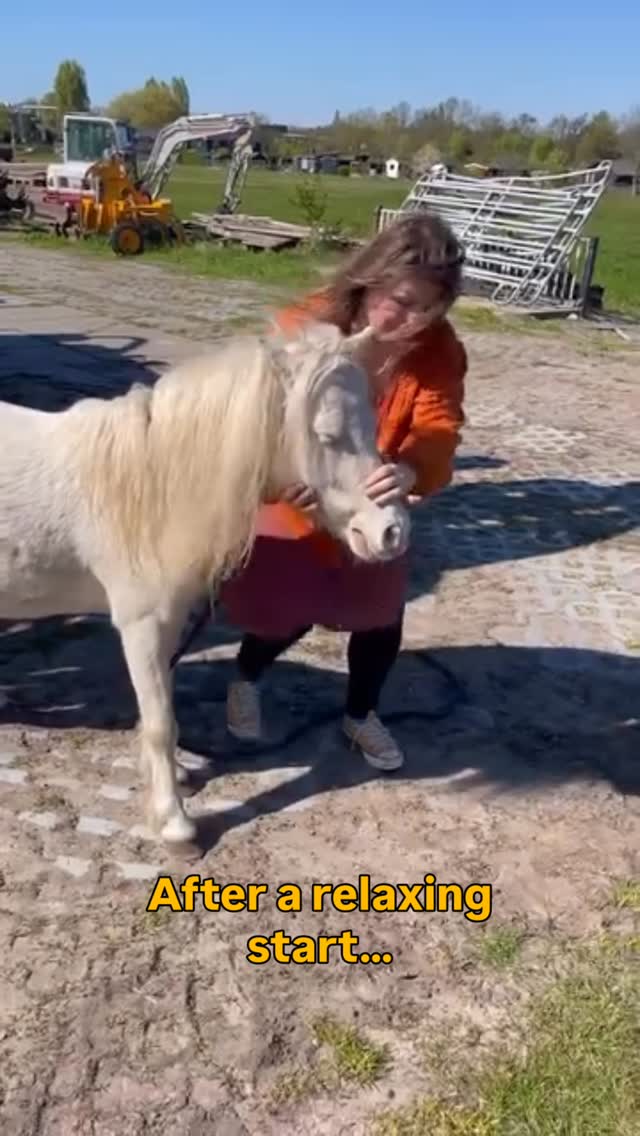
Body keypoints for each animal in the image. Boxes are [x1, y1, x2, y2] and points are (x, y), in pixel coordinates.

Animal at [0, 319, 410, 844]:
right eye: (328, 434)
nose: (391, 532)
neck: (150, 486)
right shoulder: (141, 627)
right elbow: (160, 722)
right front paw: (175, 824)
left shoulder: (169, 626)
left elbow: (164, 711)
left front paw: (174, 778)